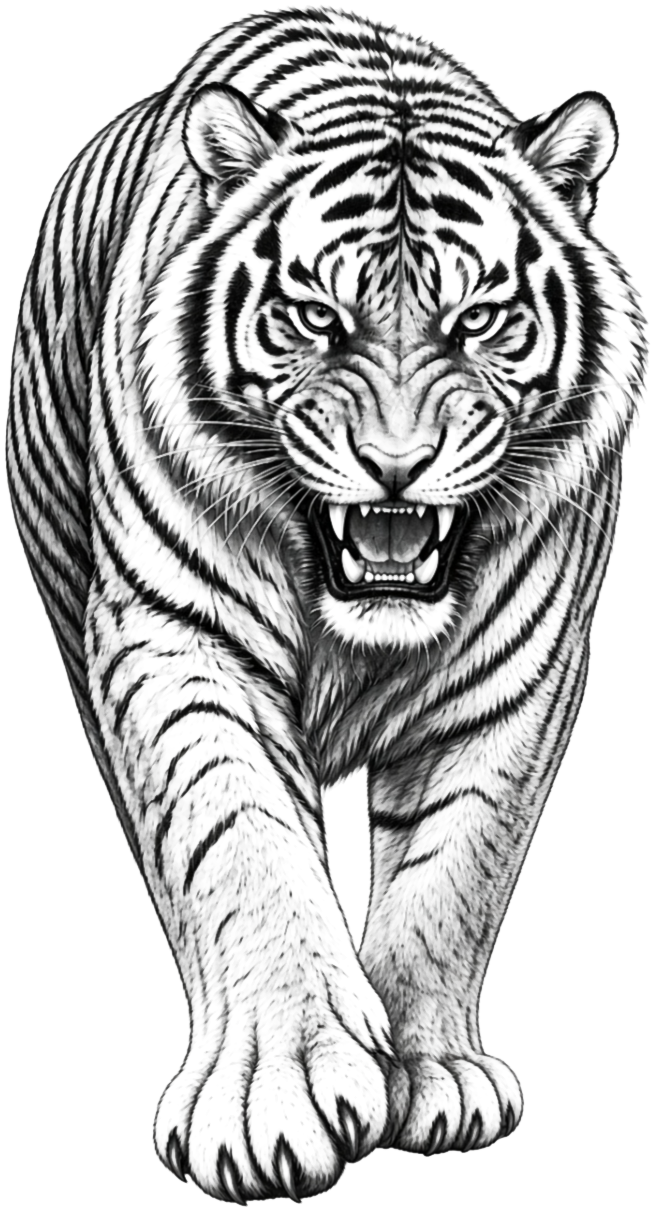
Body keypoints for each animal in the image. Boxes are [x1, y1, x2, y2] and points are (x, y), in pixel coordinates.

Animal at [6, 3, 646, 1203]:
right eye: (312, 317)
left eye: (478, 320)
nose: (394, 463)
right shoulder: (175, 639)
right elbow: (237, 843)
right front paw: (272, 1094)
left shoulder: (517, 674)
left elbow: (453, 873)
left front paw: (431, 1078)